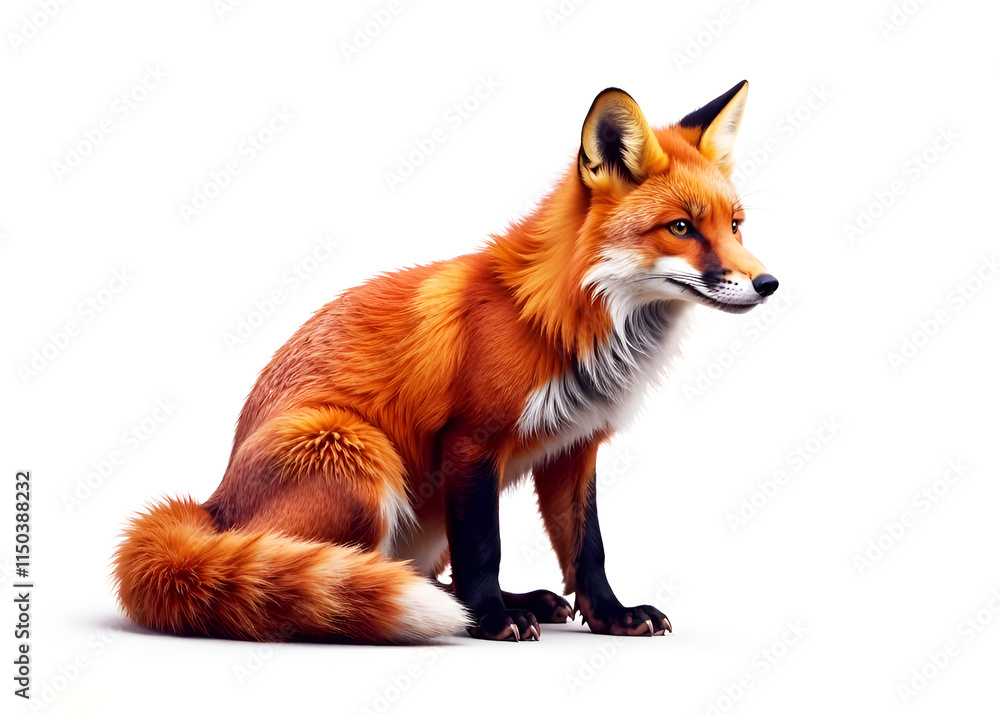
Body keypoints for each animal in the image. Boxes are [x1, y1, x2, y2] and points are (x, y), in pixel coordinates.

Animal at [113, 80, 778, 644]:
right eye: (682, 228)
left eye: (737, 226)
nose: (768, 283)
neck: (556, 318)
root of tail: (214, 510)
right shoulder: (471, 442)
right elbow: (485, 546)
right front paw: (490, 620)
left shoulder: (573, 447)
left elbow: (587, 548)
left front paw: (611, 616)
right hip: (356, 451)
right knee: (334, 580)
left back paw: (520, 600)